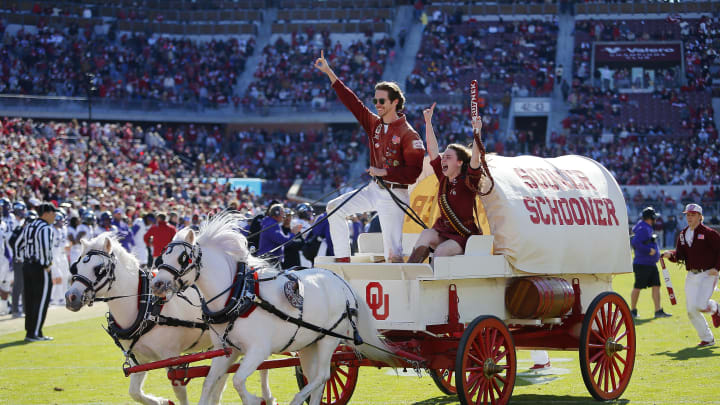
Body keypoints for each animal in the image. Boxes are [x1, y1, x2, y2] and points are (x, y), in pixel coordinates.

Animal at [64, 232, 272, 404]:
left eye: (98, 268)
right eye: (76, 266)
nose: (71, 297)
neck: (145, 306)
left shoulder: (171, 356)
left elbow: (179, 391)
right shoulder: (139, 360)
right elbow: (134, 392)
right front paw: (162, 402)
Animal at [150, 213, 396, 402]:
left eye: (183, 258)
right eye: (163, 255)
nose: (157, 284)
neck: (239, 295)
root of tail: (342, 281)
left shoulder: (259, 350)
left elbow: (238, 380)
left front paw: (257, 400)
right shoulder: (228, 351)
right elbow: (209, 382)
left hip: (328, 339)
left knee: (322, 376)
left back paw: (297, 400)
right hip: (309, 344)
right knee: (317, 380)